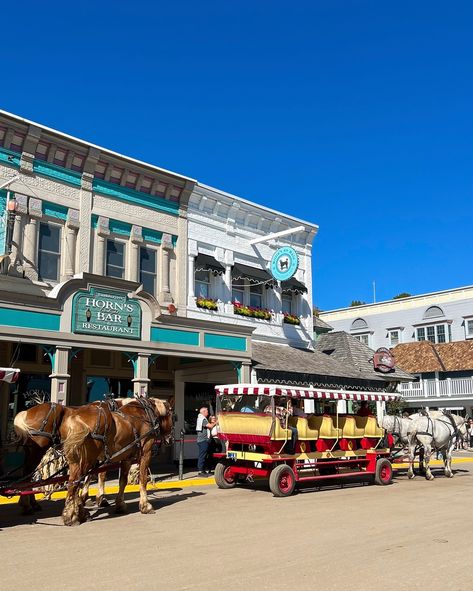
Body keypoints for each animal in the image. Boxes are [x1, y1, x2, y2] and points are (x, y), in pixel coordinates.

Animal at [61, 398, 172, 528]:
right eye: (172, 415)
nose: (170, 439)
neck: (143, 415)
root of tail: (75, 418)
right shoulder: (146, 453)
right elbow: (143, 478)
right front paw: (145, 506)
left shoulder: (126, 457)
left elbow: (122, 481)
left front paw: (120, 505)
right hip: (87, 459)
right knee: (76, 483)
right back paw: (72, 516)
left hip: (76, 461)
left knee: (73, 482)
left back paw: (77, 512)